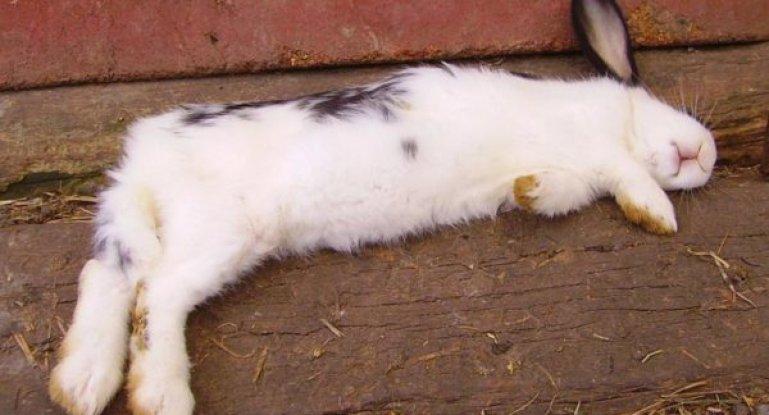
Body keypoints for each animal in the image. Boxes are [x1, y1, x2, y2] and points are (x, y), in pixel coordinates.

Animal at [49, 0, 717, 414]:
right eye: (666, 103)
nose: (706, 156)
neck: (617, 124)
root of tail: (145, 156)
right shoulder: (598, 140)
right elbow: (629, 171)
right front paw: (659, 214)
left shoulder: (573, 174)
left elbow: (553, 192)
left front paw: (528, 192)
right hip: (220, 231)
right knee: (155, 293)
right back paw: (159, 395)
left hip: (155, 226)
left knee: (108, 277)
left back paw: (81, 384)